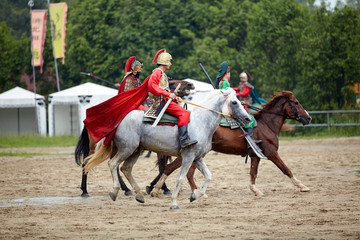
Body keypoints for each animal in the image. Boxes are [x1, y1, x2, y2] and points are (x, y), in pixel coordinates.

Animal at [85, 87, 250, 208]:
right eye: (234, 102)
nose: (248, 118)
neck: (200, 122)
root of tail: (119, 119)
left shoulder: (197, 158)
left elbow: (208, 176)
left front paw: (195, 195)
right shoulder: (188, 157)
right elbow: (180, 178)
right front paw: (174, 202)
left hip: (136, 150)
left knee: (126, 169)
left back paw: (139, 195)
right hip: (127, 149)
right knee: (113, 164)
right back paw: (115, 191)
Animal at [149, 91, 312, 200]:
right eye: (296, 103)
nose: (308, 118)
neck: (266, 124)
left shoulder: (255, 156)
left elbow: (253, 173)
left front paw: (255, 190)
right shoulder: (272, 153)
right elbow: (286, 169)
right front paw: (302, 186)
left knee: (174, 170)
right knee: (178, 171)